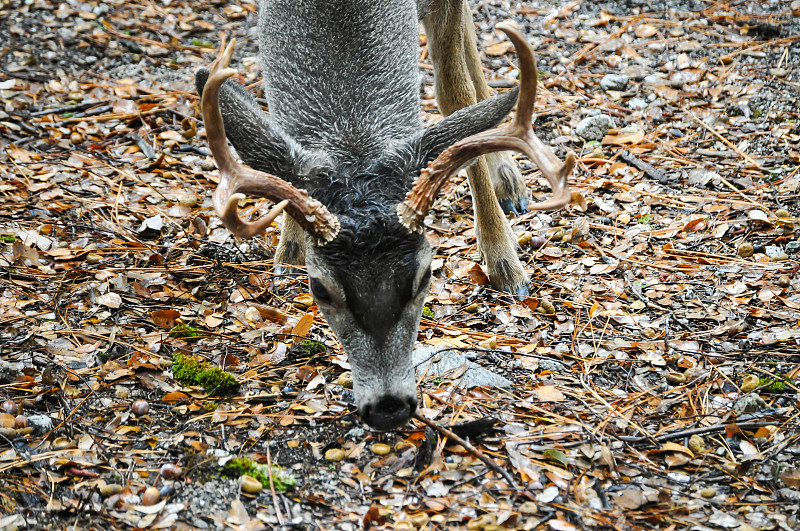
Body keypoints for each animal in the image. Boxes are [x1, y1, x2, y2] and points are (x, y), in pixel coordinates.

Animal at [198, 0, 576, 430]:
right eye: (319, 288)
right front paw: (289, 247)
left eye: (427, 274)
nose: (389, 407)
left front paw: (503, 260)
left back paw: (508, 182)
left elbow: (456, 97)